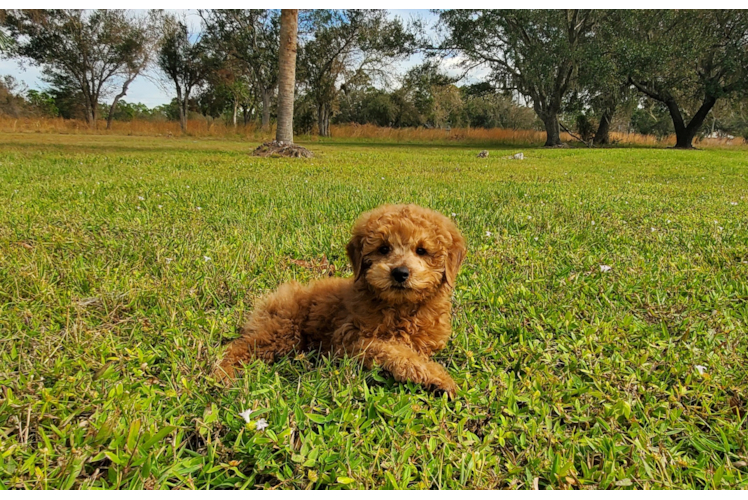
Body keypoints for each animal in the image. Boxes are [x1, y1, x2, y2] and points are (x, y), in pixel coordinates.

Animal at [213, 204, 464, 398]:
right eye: (383, 248)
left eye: (421, 251)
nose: (400, 273)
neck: (400, 307)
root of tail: (275, 296)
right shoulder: (350, 338)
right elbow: (394, 351)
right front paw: (439, 378)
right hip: (281, 330)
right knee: (239, 347)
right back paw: (222, 374)